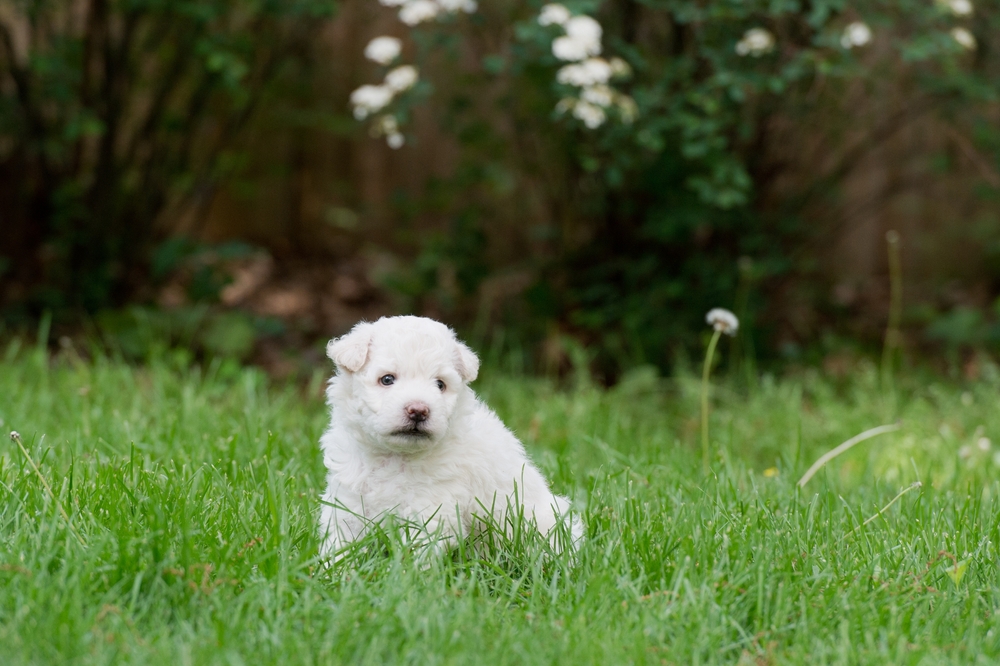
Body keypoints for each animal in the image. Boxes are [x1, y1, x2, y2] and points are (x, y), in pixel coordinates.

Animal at [320, 314, 580, 552]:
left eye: (440, 385)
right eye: (387, 379)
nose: (418, 410)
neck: (396, 456)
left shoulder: (431, 510)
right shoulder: (348, 503)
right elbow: (340, 544)